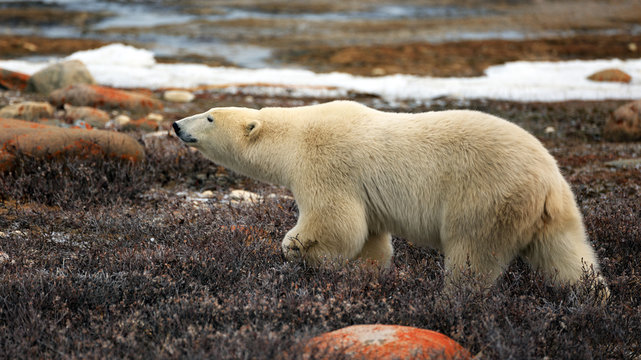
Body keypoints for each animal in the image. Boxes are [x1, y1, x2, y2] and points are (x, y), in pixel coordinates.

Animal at [174, 100, 604, 286]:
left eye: (209, 116)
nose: (177, 124)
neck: (294, 136)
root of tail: (547, 178)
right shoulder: (366, 195)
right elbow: (370, 238)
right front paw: (367, 273)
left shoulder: (327, 164)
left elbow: (336, 222)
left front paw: (296, 247)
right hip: (553, 211)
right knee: (569, 256)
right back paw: (589, 296)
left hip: (486, 197)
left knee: (473, 257)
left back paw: (454, 299)